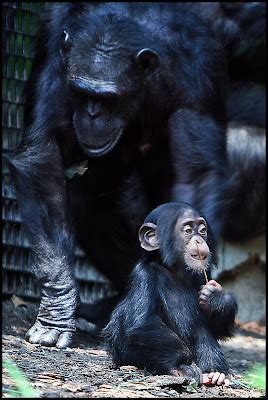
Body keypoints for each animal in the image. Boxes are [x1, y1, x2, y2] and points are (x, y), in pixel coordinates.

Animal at [4, 2, 254, 346]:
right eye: (80, 92)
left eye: (109, 99)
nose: (92, 114)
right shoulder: (54, 45)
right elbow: (41, 152)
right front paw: (58, 309)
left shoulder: (200, 68)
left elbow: (197, 173)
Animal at [102, 203, 237, 384]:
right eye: (188, 231)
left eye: (202, 230)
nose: (199, 240)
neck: (175, 271)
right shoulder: (144, 275)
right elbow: (143, 323)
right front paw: (182, 366)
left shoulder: (202, 275)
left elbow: (217, 328)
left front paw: (217, 298)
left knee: (202, 330)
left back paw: (216, 373)